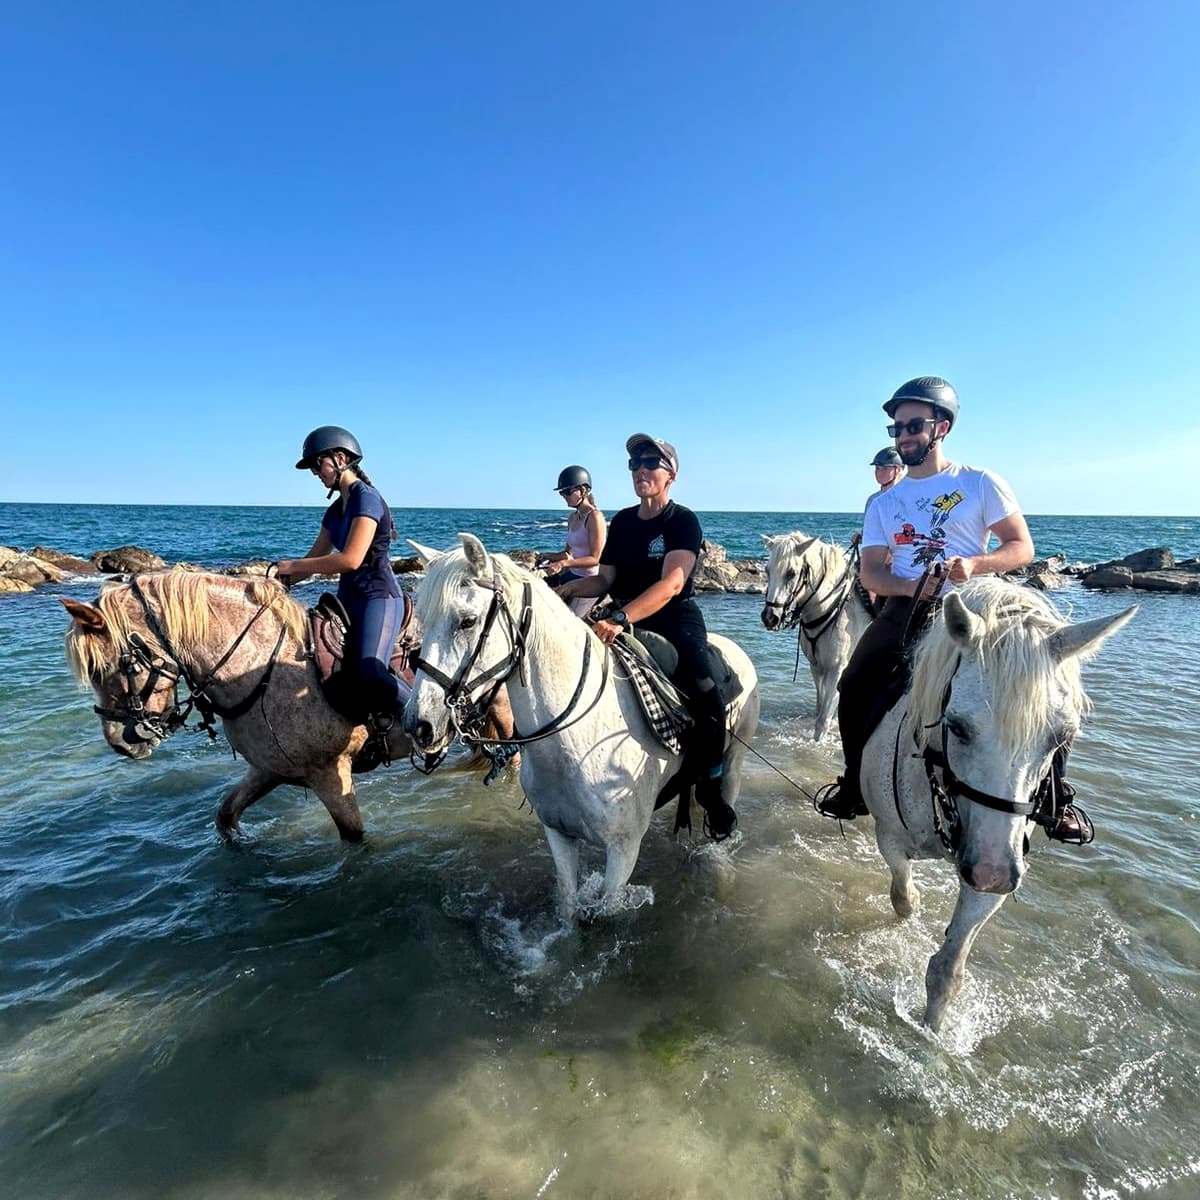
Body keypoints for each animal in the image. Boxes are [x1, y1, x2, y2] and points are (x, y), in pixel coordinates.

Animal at [62, 569, 513, 842]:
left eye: (115, 665)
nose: (121, 740)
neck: (261, 668)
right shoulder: (269, 769)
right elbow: (226, 816)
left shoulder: (330, 773)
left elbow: (354, 838)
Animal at [402, 535, 761, 916]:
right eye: (422, 618)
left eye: (467, 621)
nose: (418, 724)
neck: (573, 741)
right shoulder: (559, 837)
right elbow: (568, 907)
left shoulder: (623, 851)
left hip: (734, 763)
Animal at [760, 532, 873, 739]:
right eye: (767, 570)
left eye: (791, 573)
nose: (769, 617)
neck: (831, 606)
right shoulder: (817, 667)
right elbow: (820, 708)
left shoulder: (836, 670)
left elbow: (823, 719)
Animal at [853, 576, 1135, 1031]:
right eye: (956, 726)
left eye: (1062, 738)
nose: (993, 873)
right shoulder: (891, 839)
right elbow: (903, 896)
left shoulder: (997, 868)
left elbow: (947, 970)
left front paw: (932, 1034)